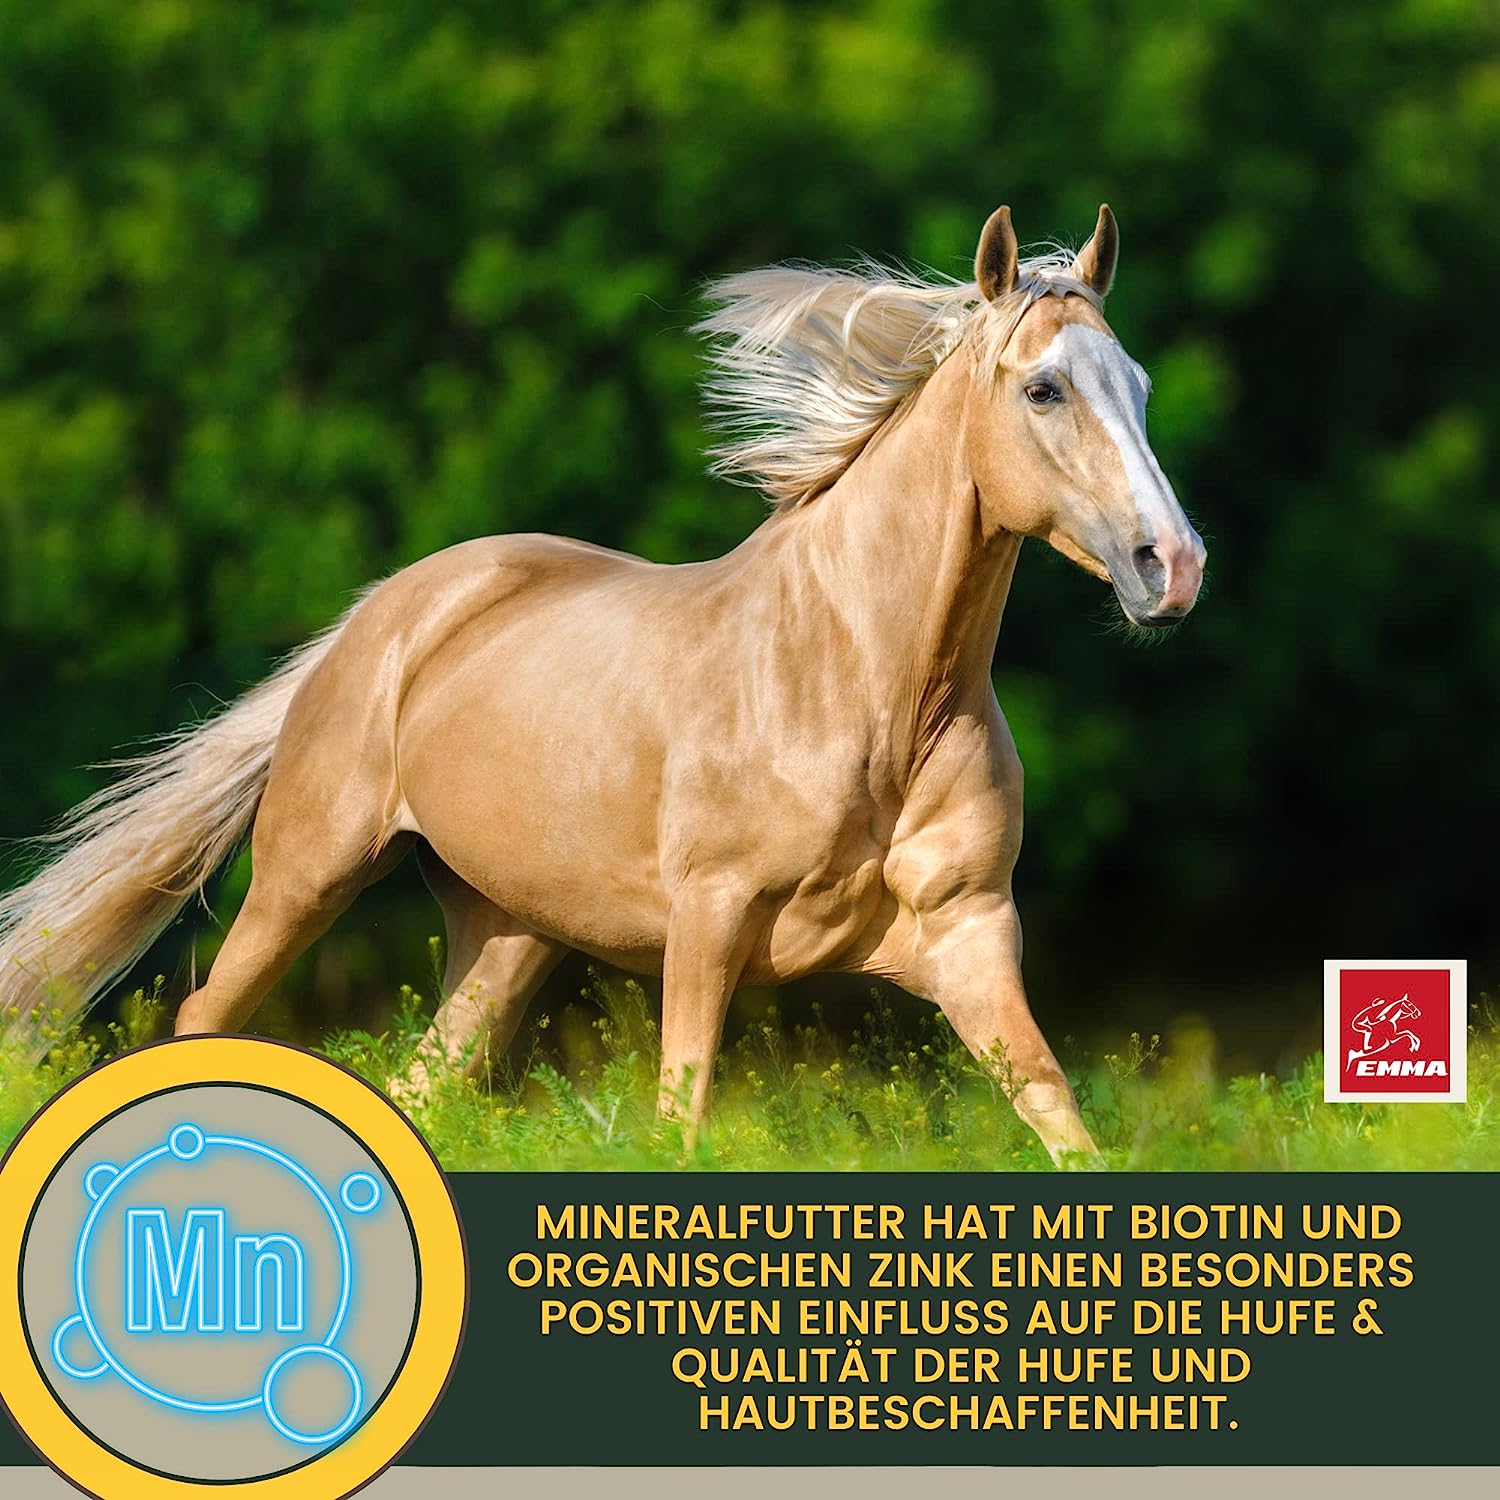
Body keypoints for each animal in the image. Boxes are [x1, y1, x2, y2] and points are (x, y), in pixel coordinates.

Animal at [0, 204, 1205, 1164]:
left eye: (1142, 385)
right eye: (1043, 388)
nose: (1173, 566)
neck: (868, 691)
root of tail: (383, 613)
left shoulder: (970, 932)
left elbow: (1058, 1115)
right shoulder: (710, 921)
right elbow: (682, 1118)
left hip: (507, 932)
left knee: (423, 1082)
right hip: (308, 872)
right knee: (206, 1015)